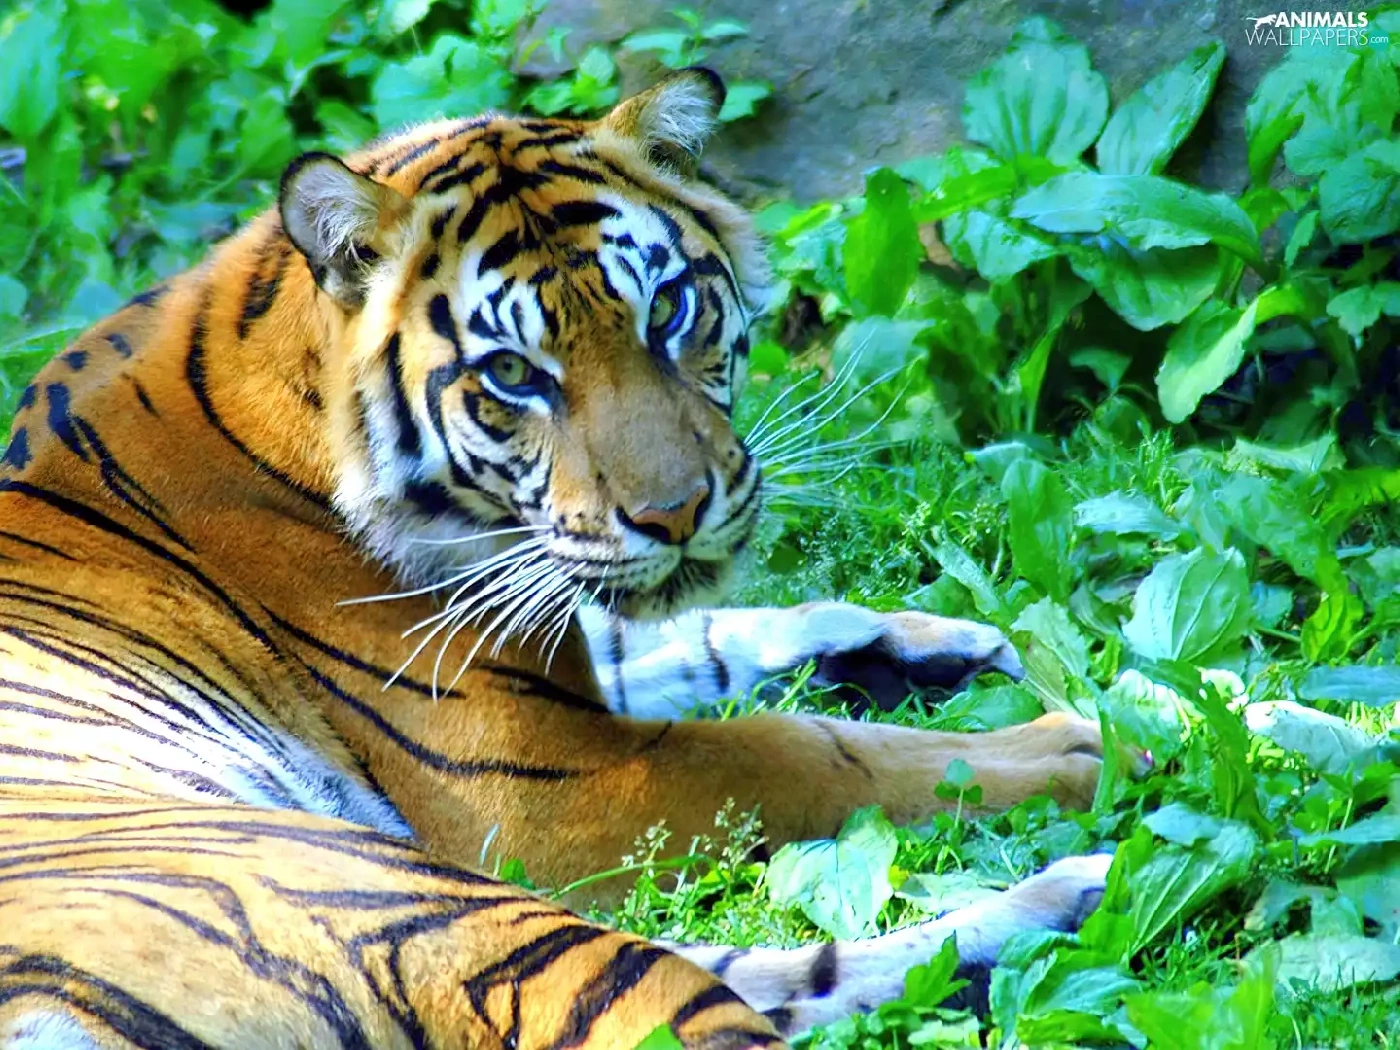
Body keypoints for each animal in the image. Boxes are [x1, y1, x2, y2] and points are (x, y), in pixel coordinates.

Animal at [0, 69, 1138, 1049]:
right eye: (512, 372)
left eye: (667, 310)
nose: (675, 514)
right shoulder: (551, 784)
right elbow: (808, 750)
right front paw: (1090, 742)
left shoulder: (556, 639)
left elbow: (685, 634)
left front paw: (928, 645)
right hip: (379, 886)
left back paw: (1073, 900)